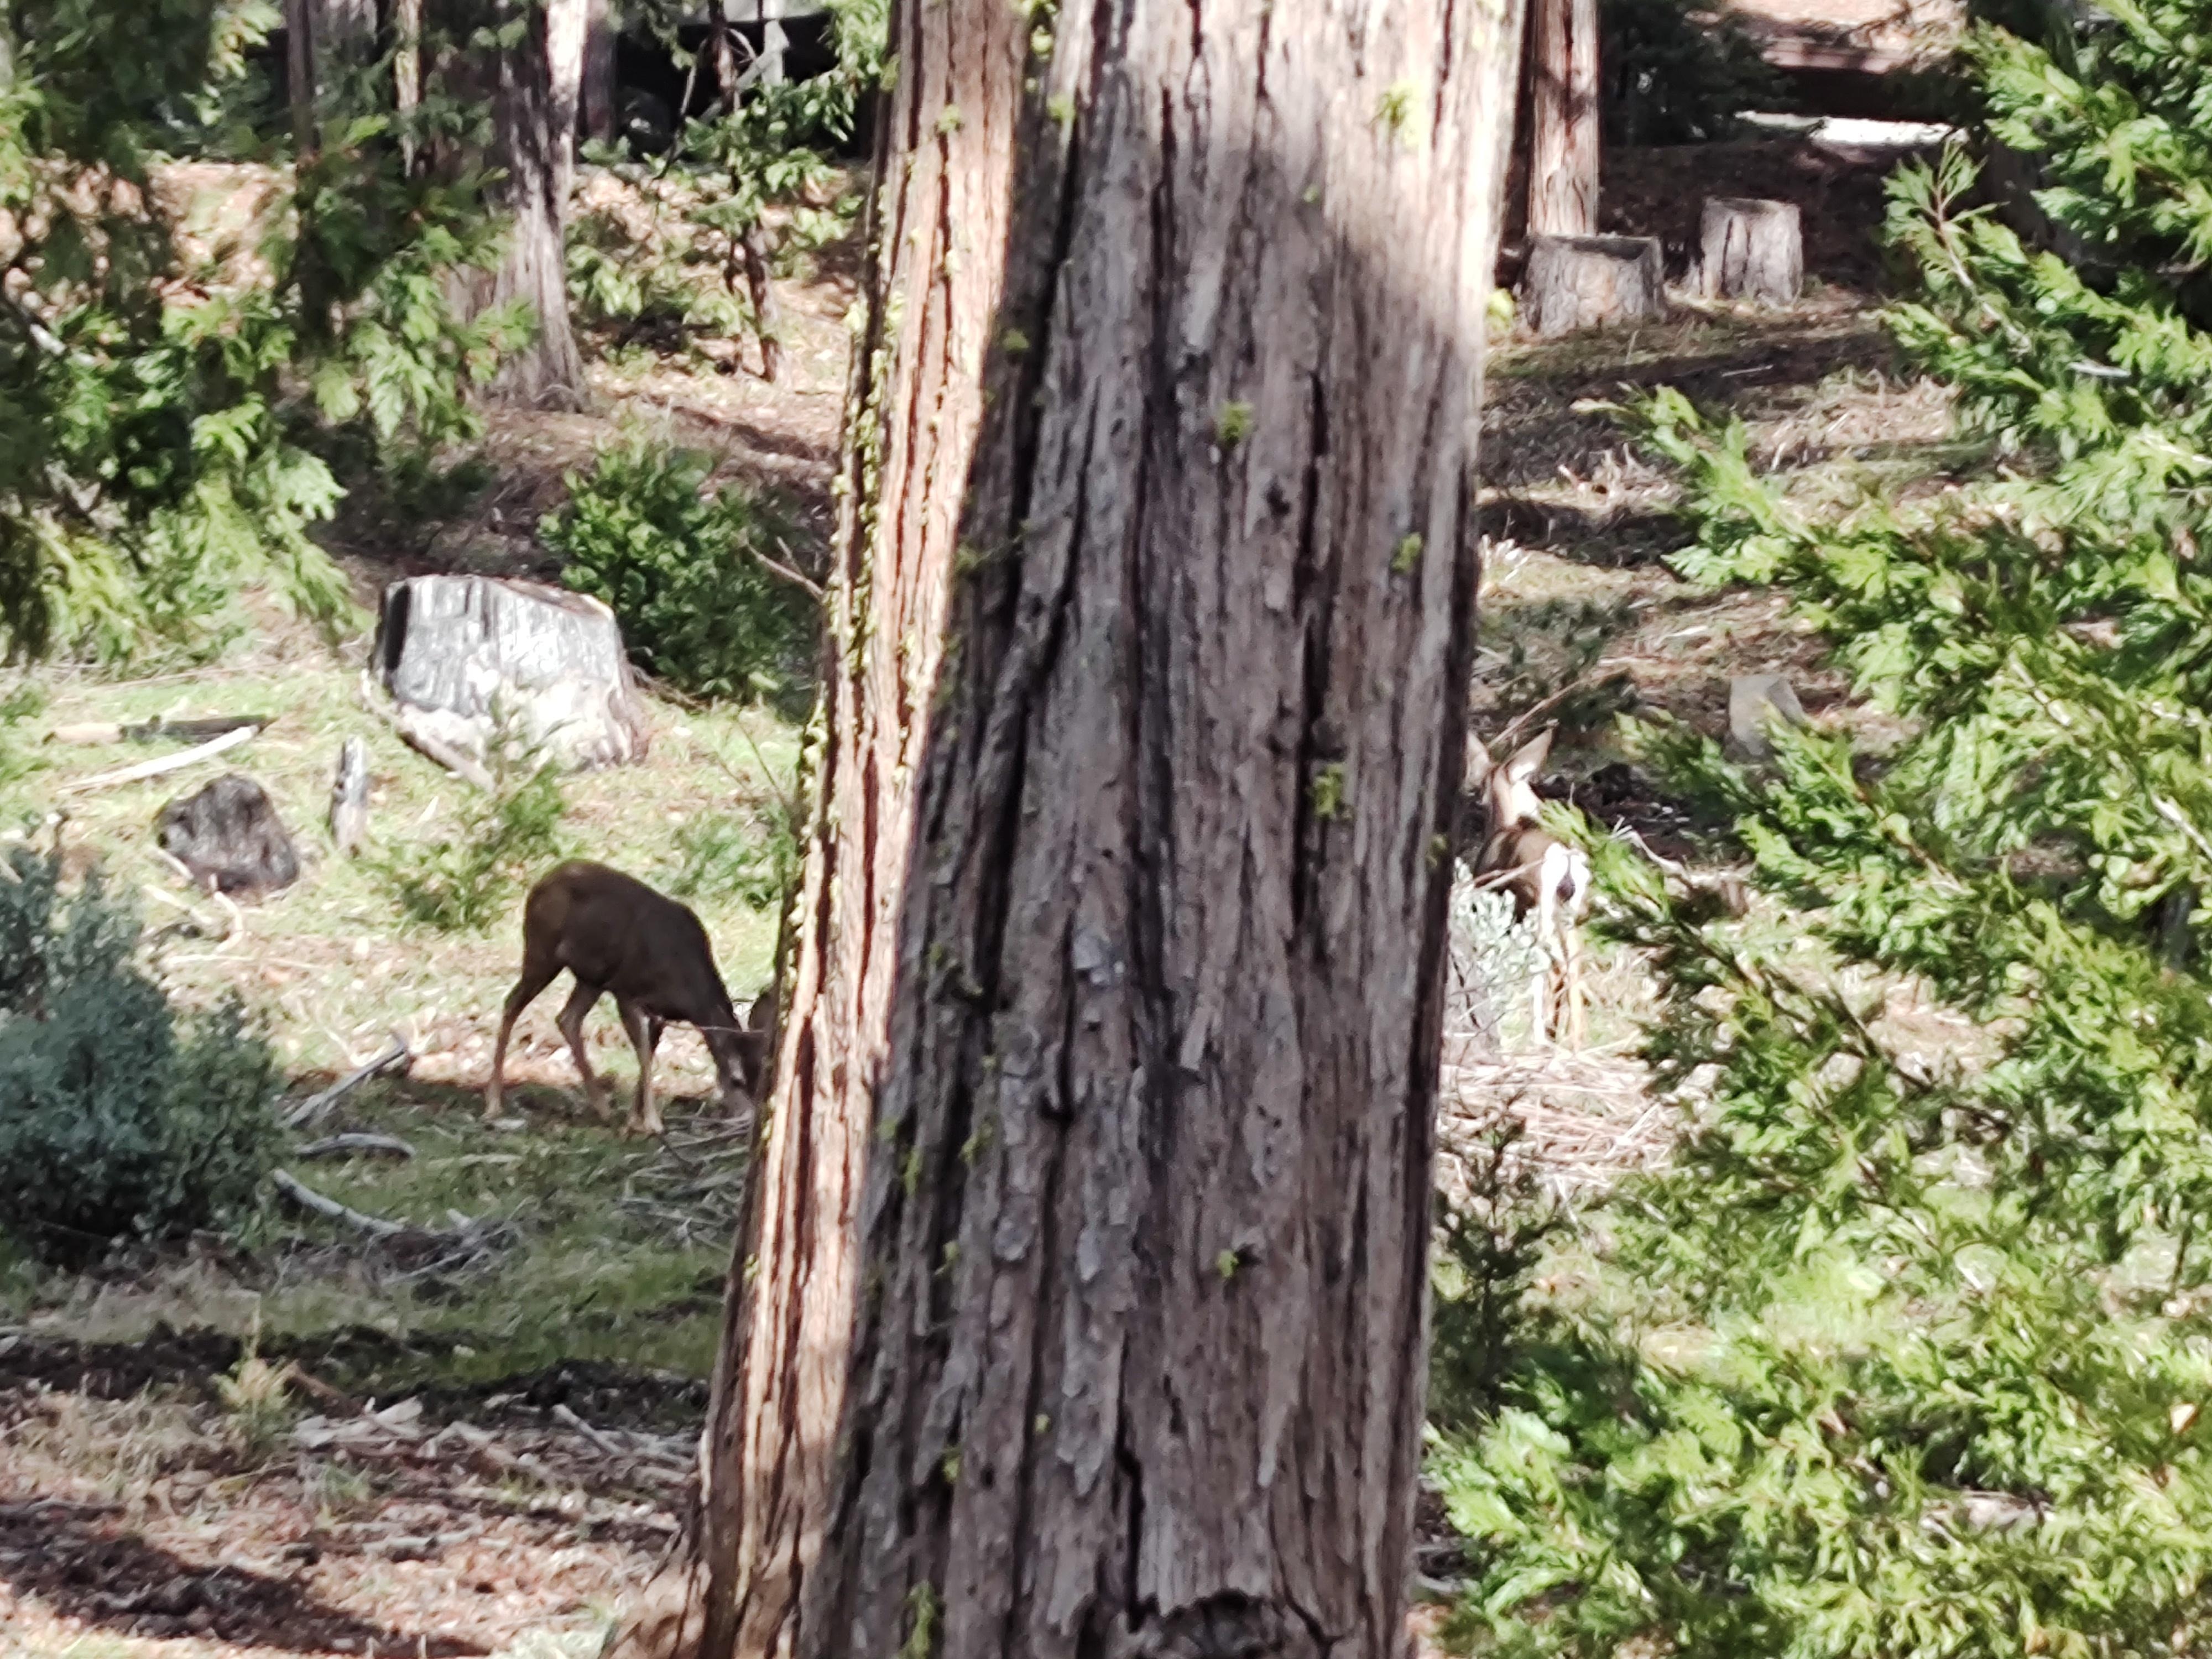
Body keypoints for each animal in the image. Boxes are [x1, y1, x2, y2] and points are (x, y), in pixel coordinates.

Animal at [485, 860, 771, 1137]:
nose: (748, 1119)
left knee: (568, 1017)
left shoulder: (661, 1013)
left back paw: (602, 1108)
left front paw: (634, 1120)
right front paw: (653, 1123)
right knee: (512, 1003)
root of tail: (543, 880)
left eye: (762, 1079)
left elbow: (648, 1055)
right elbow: (643, 1055)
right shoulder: (626, 992)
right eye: (735, 1079)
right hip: (542, 950)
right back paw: (493, 1104)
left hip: (592, 978)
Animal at [1467, 727, 1591, 1048]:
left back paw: (1541, 1036)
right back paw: (1572, 1040)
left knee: (1546, 967)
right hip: (1570, 913)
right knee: (1572, 966)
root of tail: (1566, 860)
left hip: (1541, 908)